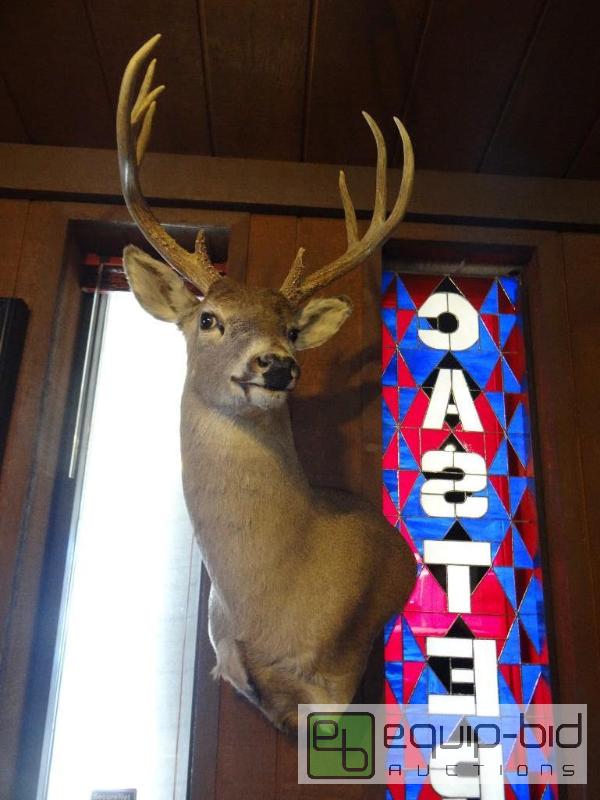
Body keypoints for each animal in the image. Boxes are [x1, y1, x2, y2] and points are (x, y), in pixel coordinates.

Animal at [116, 34, 416, 734]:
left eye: (291, 326)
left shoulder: (333, 683)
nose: (277, 364)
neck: (268, 607)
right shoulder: (227, 666)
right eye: (208, 319)